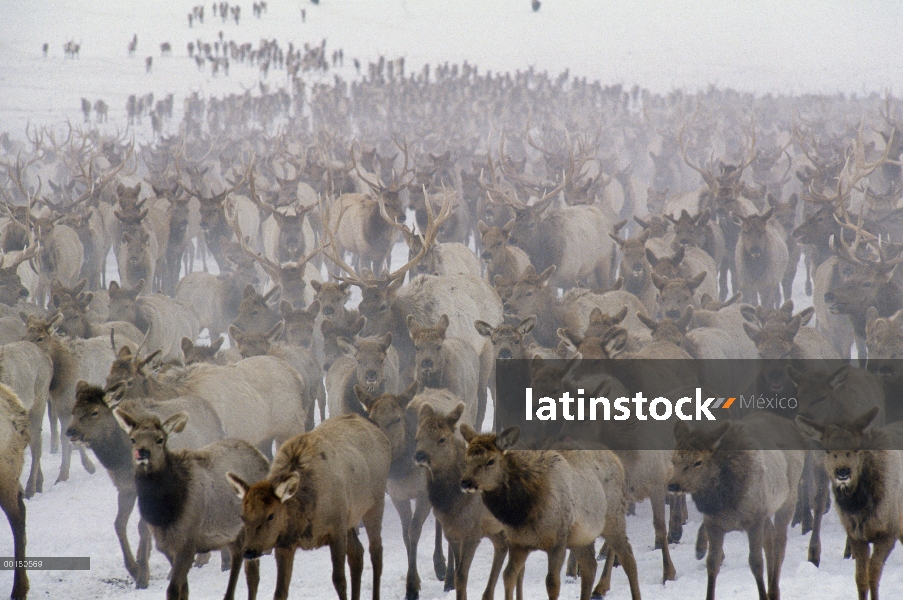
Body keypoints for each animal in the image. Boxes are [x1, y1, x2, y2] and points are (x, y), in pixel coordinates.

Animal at [115, 410, 268, 600]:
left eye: (160, 439)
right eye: (133, 439)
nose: (142, 452)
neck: (163, 515)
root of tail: (263, 458)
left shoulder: (187, 544)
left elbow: (173, 590)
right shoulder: (167, 547)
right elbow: (184, 589)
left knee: (252, 571)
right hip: (230, 532)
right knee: (238, 556)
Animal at [228, 412, 390, 600]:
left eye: (271, 515)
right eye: (242, 516)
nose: (249, 551)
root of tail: (381, 435)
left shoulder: (336, 529)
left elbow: (339, 580)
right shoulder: (284, 543)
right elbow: (280, 591)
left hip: (376, 502)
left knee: (376, 551)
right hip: (350, 518)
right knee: (357, 553)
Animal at [460, 424, 644, 600]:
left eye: (490, 461)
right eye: (466, 458)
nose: (465, 482)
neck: (523, 511)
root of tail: (617, 460)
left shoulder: (558, 542)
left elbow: (552, 584)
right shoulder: (518, 543)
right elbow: (508, 576)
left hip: (614, 519)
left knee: (628, 558)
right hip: (582, 537)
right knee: (590, 567)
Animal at [668, 414, 808, 600]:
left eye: (698, 462)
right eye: (673, 459)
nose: (673, 485)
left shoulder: (755, 520)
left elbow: (756, 563)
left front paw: (762, 595)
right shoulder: (714, 524)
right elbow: (712, 563)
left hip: (788, 499)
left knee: (780, 544)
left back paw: (773, 590)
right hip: (767, 511)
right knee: (770, 540)